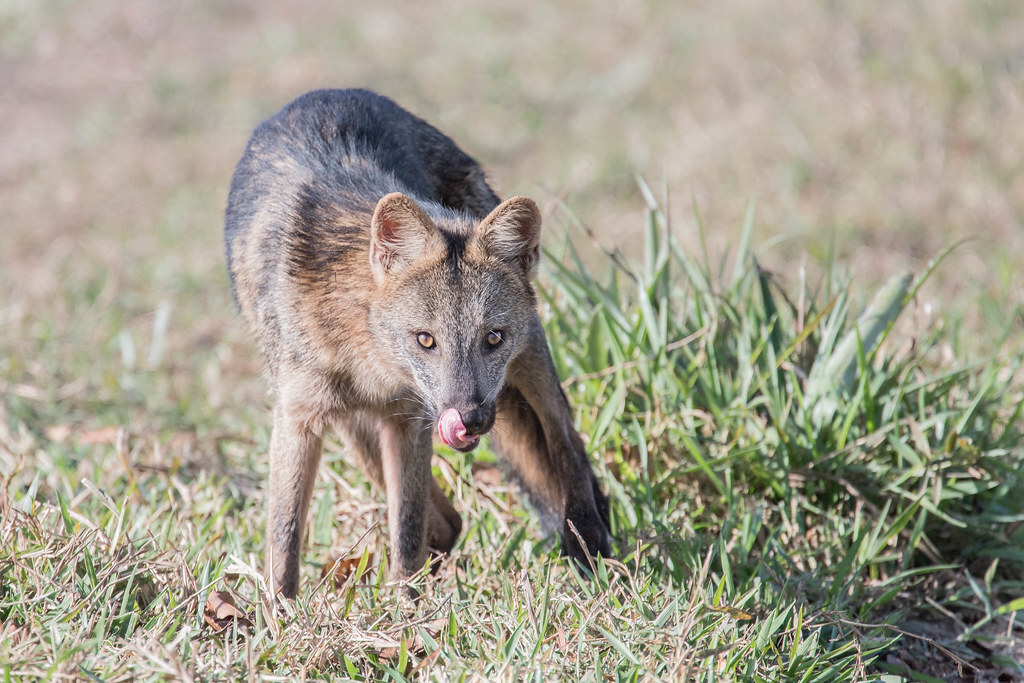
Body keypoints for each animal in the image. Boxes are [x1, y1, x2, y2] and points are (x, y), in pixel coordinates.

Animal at [226, 88, 606, 593]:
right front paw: (281, 613)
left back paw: (587, 539)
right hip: (357, 434)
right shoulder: (301, 418)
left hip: (529, 363)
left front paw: (402, 608)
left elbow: (406, 534)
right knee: (450, 522)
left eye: (492, 338)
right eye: (426, 340)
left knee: (566, 438)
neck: (364, 354)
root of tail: (329, 92)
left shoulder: (406, 419)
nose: (470, 418)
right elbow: (284, 541)